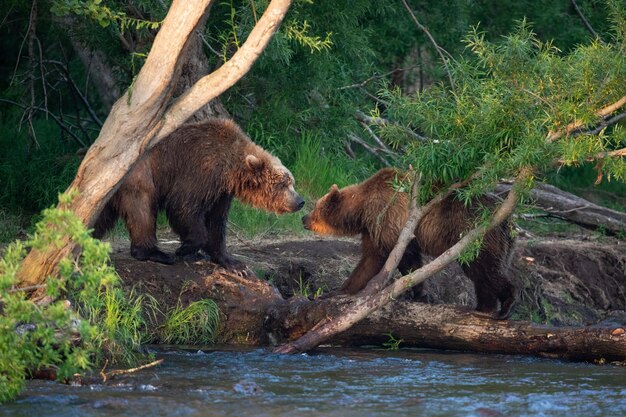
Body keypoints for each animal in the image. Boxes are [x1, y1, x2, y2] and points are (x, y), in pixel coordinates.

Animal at [93, 118, 304, 272]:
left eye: (291, 182)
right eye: (283, 184)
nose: (300, 201)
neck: (229, 169)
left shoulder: (221, 194)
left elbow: (217, 223)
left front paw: (233, 263)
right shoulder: (200, 172)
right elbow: (184, 208)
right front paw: (185, 248)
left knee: (103, 216)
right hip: (140, 175)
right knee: (143, 210)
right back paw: (155, 253)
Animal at [300, 167, 516, 316]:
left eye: (316, 207)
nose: (303, 218)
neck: (363, 209)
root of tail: (507, 221)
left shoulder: (390, 218)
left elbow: (405, 259)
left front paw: (417, 293)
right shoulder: (373, 228)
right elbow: (369, 261)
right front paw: (338, 291)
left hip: (473, 232)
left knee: (484, 268)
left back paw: (506, 304)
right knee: (482, 271)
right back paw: (484, 307)